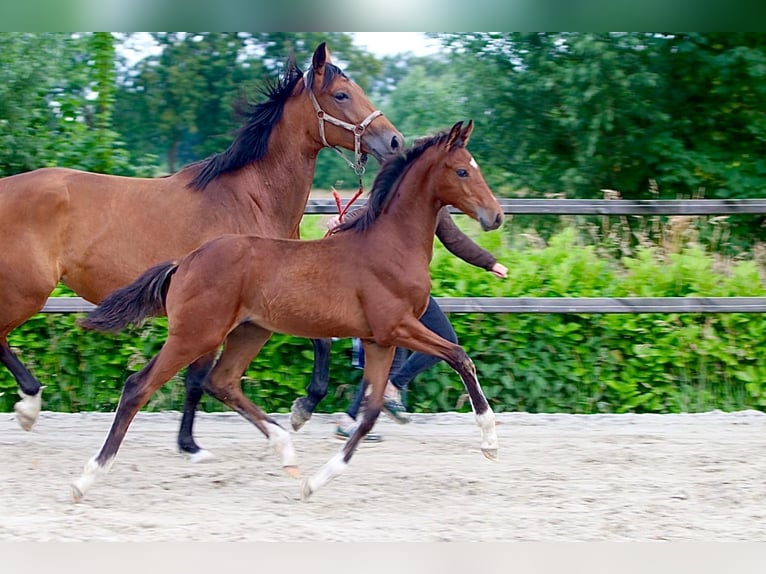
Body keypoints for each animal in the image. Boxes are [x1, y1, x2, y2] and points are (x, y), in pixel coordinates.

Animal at [0, 42, 404, 462]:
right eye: (341, 95)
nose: (394, 141)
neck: (250, 198)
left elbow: (319, 342)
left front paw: (301, 409)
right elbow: (197, 378)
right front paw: (192, 444)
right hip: (26, 292)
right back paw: (29, 406)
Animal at [72, 121, 504, 504]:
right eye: (462, 170)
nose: (495, 216)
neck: (388, 246)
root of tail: (185, 262)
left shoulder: (378, 340)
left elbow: (370, 414)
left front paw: (316, 482)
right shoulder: (398, 326)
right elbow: (459, 356)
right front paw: (490, 441)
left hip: (250, 331)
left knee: (222, 382)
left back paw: (286, 448)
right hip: (195, 335)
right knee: (139, 386)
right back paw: (86, 478)